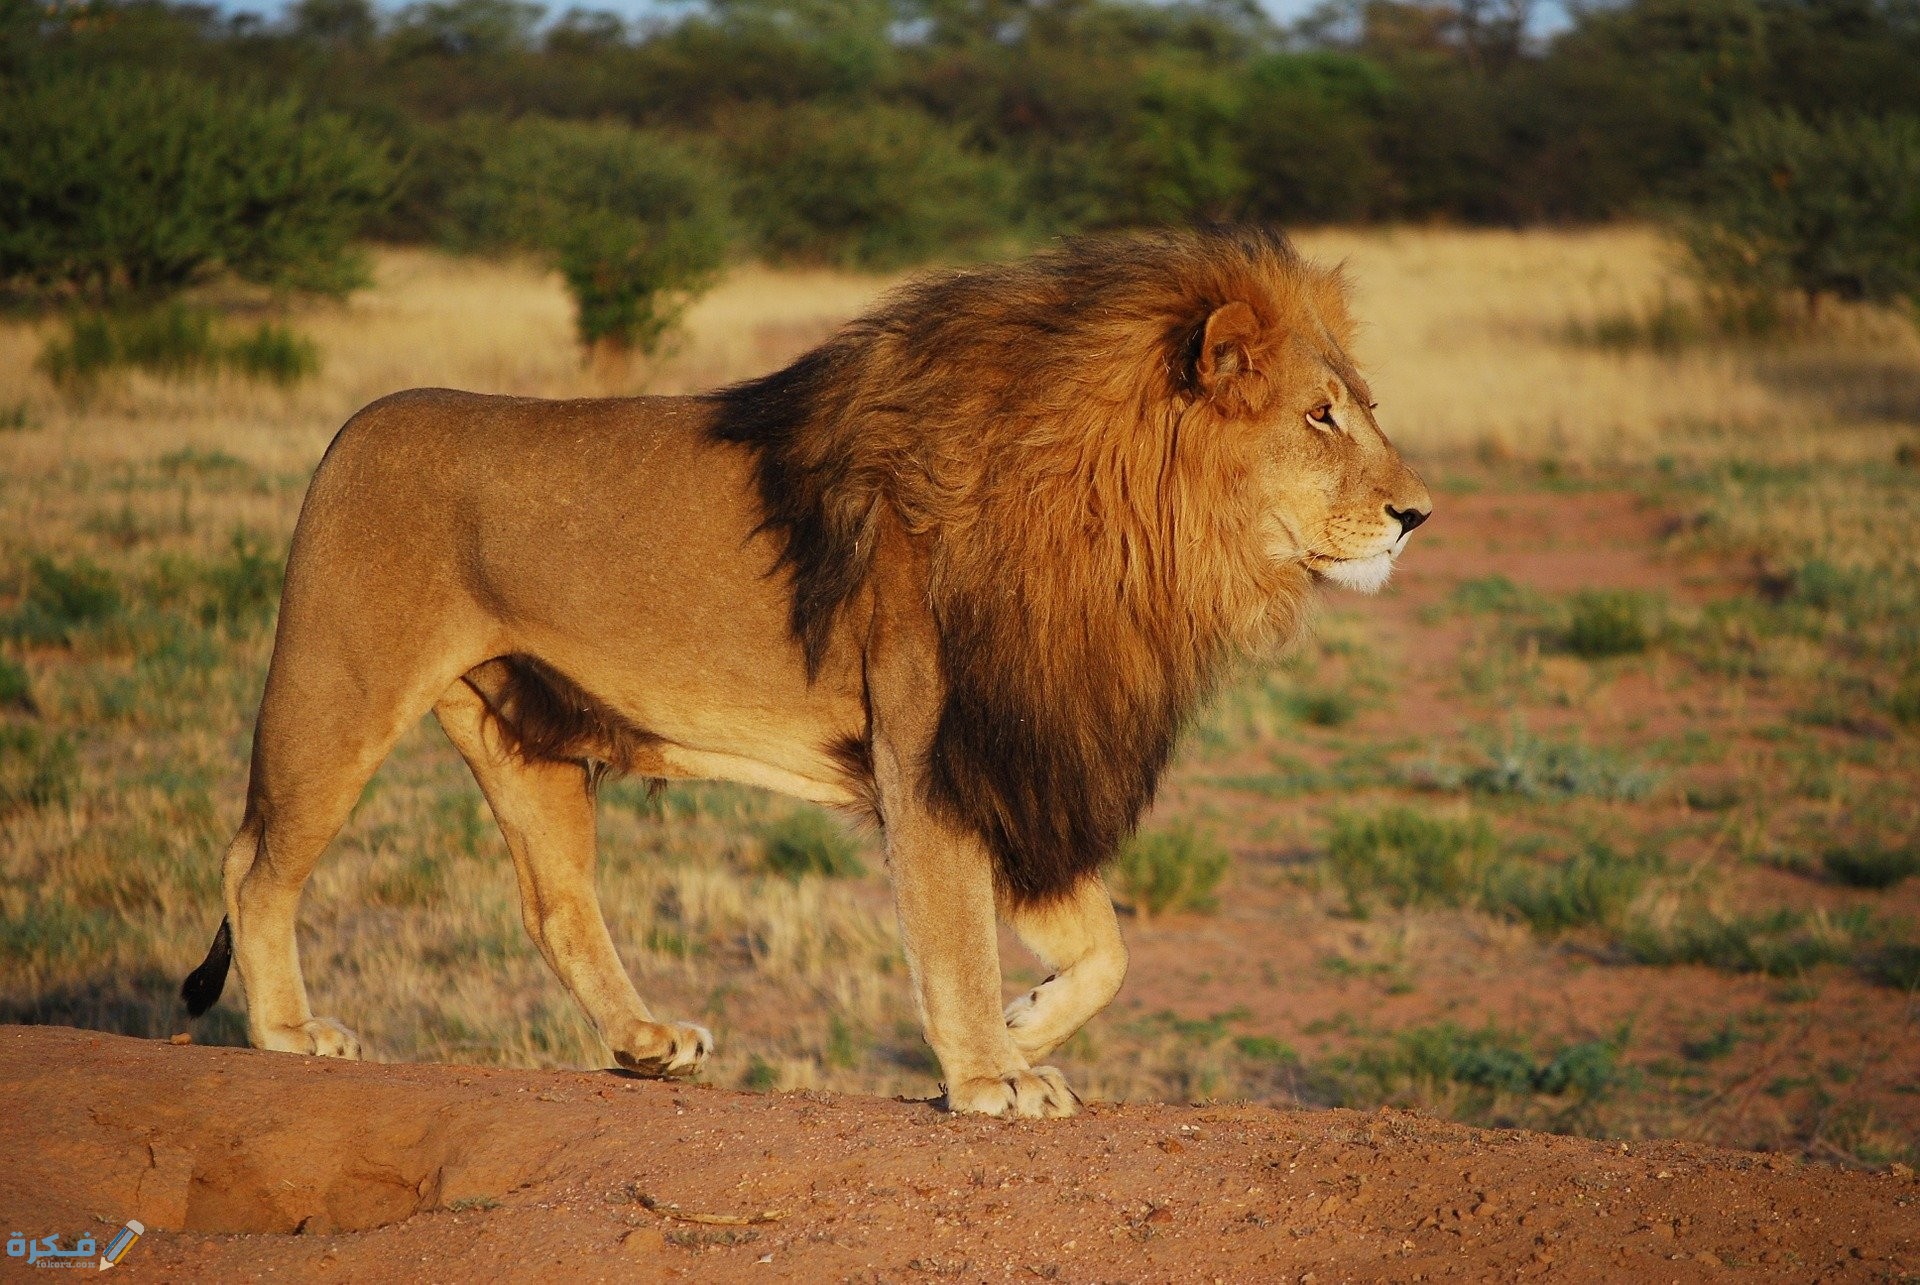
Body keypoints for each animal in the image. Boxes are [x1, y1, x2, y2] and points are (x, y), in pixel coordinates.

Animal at [181, 226, 1431, 1118]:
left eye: (1362, 409)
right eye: (1320, 417)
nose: (1419, 514)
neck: (1127, 532)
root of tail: (351, 427)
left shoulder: (1014, 755)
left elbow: (1107, 946)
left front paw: (1023, 1027)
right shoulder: (934, 751)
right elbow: (954, 930)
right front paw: (988, 1076)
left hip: (522, 731)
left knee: (556, 904)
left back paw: (645, 1044)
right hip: (337, 687)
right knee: (255, 862)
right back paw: (291, 1032)